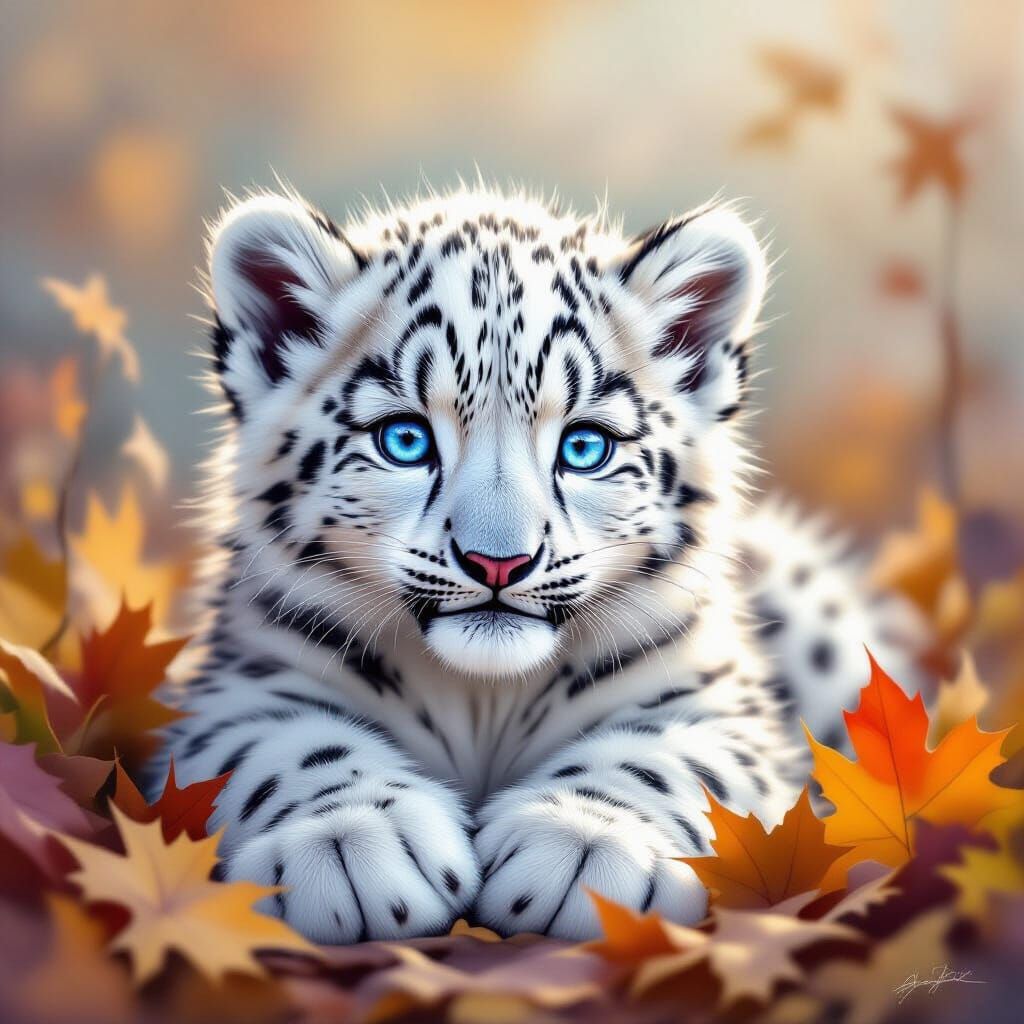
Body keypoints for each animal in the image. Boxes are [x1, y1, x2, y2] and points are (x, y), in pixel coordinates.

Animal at [157, 185, 924, 943]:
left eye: (585, 447)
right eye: (404, 440)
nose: (499, 562)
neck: (481, 699)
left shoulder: (716, 699)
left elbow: (669, 756)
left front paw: (583, 845)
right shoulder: (242, 682)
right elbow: (284, 745)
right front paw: (350, 842)